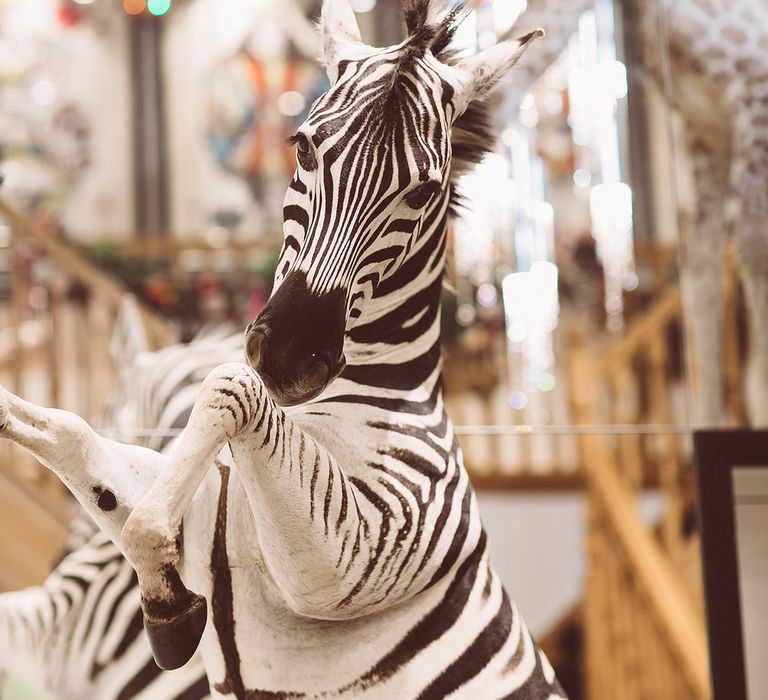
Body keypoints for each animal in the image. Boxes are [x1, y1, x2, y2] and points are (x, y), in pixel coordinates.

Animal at [0, 1, 564, 696]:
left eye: (423, 193)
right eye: (304, 148)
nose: (291, 355)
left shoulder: (349, 554)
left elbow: (228, 388)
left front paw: (166, 609)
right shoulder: (205, 516)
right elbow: (73, 434)